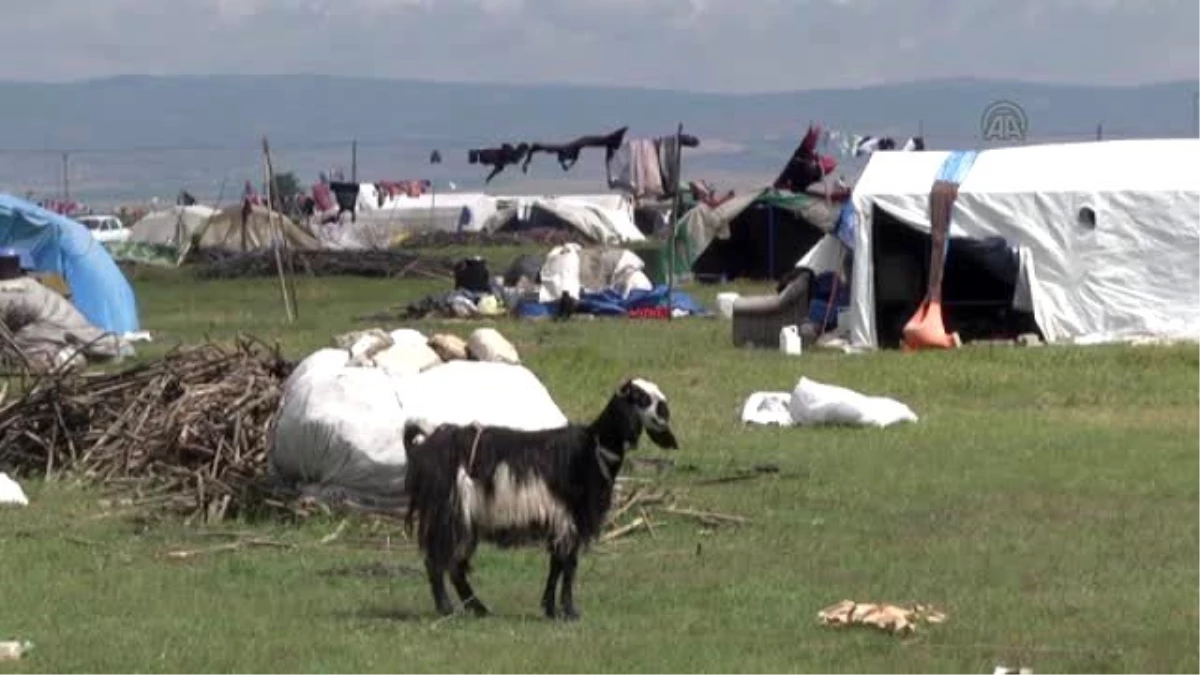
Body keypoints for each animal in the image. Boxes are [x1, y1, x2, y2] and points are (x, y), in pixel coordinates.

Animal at [403, 374, 681, 619]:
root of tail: (423, 446)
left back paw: (479, 609)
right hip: (447, 510)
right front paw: (569, 611)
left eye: (658, 398)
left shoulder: (561, 521)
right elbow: (569, 566)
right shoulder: (571, 518)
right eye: (640, 397)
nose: (662, 418)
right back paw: (446, 609)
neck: (592, 451)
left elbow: (556, 565)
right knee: (437, 560)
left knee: (455, 566)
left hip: (465, 520)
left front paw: (550, 609)